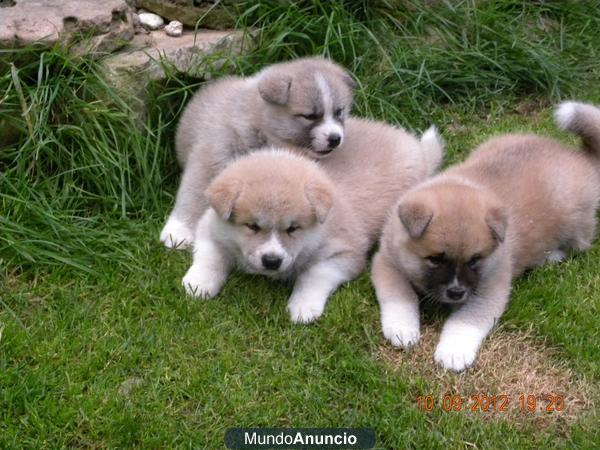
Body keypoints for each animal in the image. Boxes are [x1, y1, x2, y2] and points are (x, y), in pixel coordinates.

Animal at [159, 57, 356, 250]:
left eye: (339, 112)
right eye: (309, 116)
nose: (335, 139)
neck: (259, 126)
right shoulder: (209, 159)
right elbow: (192, 195)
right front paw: (178, 231)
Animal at [372, 102, 600, 372]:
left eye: (475, 260)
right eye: (435, 259)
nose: (456, 293)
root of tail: (582, 159)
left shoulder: (490, 288)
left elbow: (465, 321)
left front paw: (453, 352)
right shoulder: (386, 262)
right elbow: (400, 297)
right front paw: (402, 329)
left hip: (575, 224)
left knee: (580, 243)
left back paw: (551, 256)